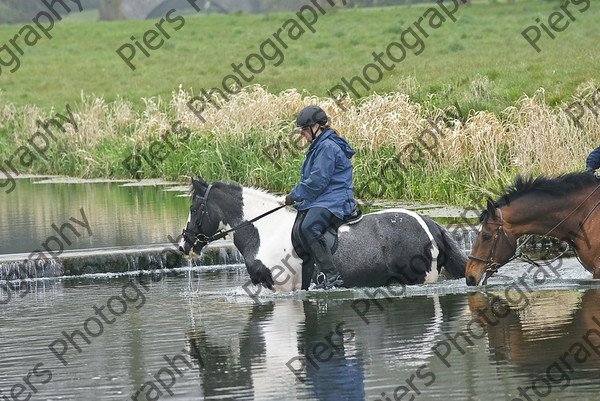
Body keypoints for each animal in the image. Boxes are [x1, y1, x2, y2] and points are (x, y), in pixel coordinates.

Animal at [180, 177, 466, 292]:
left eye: (194, 209)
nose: (184, 245)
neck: (263, 231)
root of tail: (430, 223)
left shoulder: (282, 290)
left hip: (422, 278)